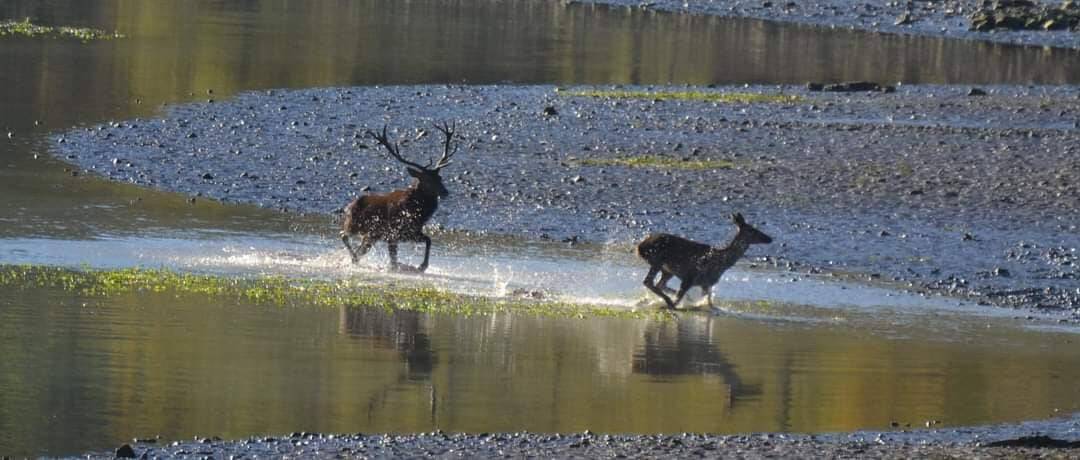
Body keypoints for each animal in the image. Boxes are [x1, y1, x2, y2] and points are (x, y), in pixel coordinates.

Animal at [336, 123, 455, 273]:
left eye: (440, 178)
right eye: (427, 180)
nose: (445, 192)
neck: (415, 212)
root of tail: (347, 207)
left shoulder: (411, 232)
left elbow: (428, 240)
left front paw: (421, 266)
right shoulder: (393, 233)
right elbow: (394, 260)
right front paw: (413, 266)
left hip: (370, 236)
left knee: (359, 249)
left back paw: (355, 260)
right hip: (353, 225)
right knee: (343, 235)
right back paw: (354, 258)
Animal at [635, 214, 773, 308]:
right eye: (752, 230)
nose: (770, 238)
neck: (721, 262)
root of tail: (639, 246)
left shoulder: (706, 283)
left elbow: (710, 303)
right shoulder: (690, 277)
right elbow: (681, 297)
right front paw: (675, 303)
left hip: (666, 269)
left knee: (658, 284)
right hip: (657, 260)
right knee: (649, 282)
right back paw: (668, 301)